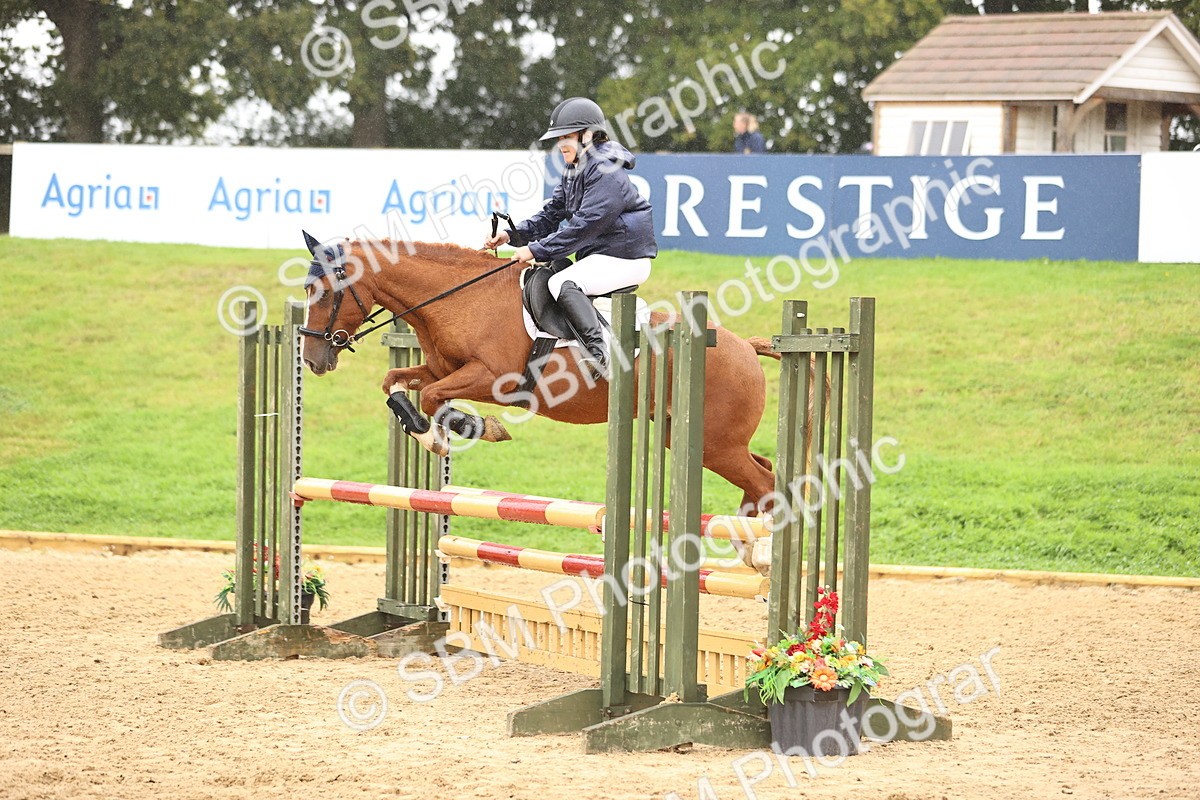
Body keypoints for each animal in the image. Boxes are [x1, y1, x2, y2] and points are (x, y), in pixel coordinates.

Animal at [298, 237, 783, 517]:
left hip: (716, 444)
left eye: (322, 291)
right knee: (762, 471)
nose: (313, 359)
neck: (460, 299)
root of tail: (744, 346)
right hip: (690, 438)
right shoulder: (440, 368)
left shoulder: (492, 378)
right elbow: (395, 383)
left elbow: (435, 399)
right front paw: (429, 426)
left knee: (766, 482)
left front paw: (467, 430)